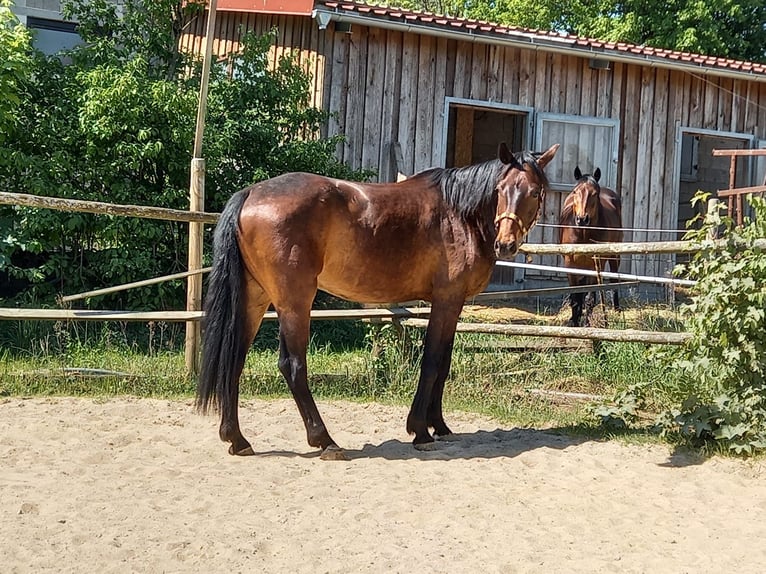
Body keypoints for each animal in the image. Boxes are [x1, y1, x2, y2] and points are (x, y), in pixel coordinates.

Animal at [196, 143, 560, 460]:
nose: (506, 244)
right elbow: (431, 362)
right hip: (295, 302)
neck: (459, 214)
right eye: (501, 189)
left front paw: (439, 425)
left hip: (256, 300)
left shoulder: (453, 305)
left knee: (234, 360)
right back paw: (325, 441)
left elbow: (443, 363)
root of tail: (251, 194)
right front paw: (420, 430)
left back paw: (237, 439)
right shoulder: (446, 300)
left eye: (535, 192)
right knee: (293, 366)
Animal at [560, 166, 628, 328]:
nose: (582, 219)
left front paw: (586, 324)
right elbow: (575, 297)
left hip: (613, 257)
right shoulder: (570, 264)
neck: (583, 234)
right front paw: (574, 321)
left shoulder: (595, 264)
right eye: (575, 191)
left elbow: (590, 298)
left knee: (613, 280)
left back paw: (616, 310)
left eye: (594, 193)